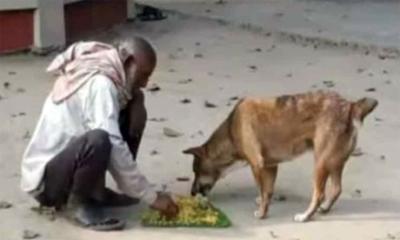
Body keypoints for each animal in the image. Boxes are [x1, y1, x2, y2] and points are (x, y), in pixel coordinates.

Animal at [184, 91, 378, 222]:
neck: (231, 131)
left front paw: (262, 212)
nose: (192, 193)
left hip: (320, 163)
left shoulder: (257, 165)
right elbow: (266, 190)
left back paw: (305, 216)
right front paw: (263, 203)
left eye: (196, 171)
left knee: (319, 194)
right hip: (335, 162)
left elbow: (262, 189)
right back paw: (324, 209)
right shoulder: (270, 166)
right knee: (336, 188)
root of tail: (350, 106)